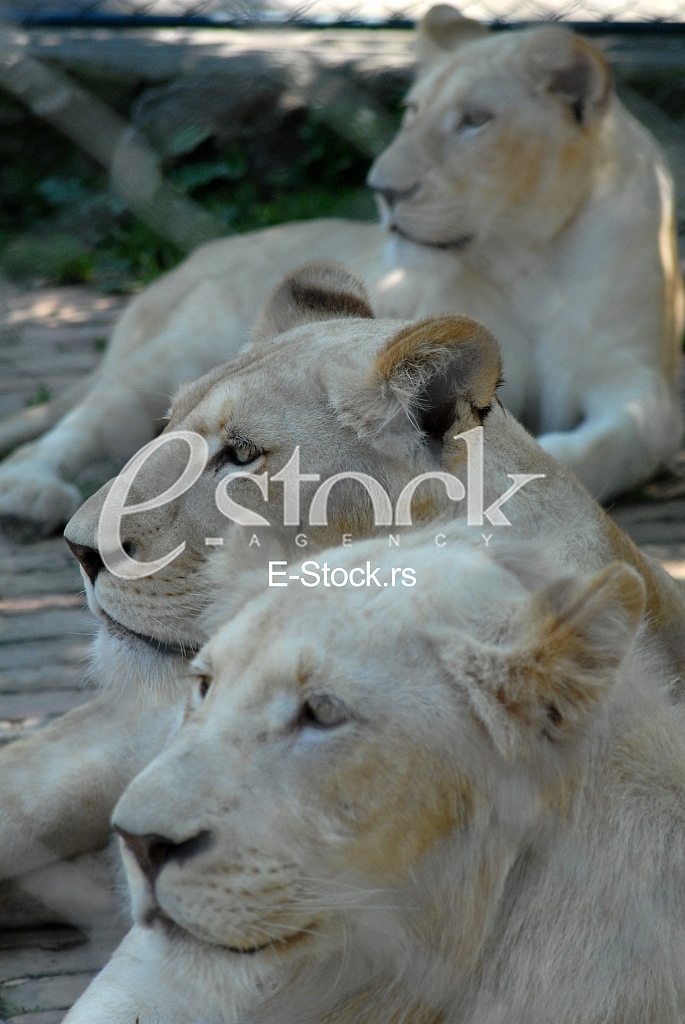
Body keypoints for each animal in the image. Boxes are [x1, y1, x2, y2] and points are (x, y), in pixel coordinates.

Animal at [0, 4, 681, 537]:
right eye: (411, 113)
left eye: (476, 120)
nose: (383, 189)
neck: (526, 257)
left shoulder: (633, 379)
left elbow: (628, 439)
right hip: (175, 354)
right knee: (78, 428)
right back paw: (30, 492)